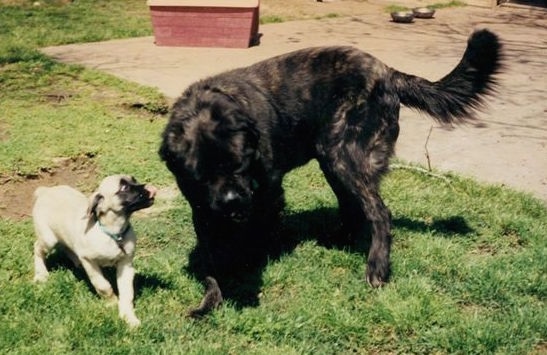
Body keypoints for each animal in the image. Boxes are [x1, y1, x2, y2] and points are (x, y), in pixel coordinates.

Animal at [32, 175, 156, 328]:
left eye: (134, 180)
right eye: (124, 187)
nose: (151, 188)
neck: (114, 234)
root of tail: (45, 191)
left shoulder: (125, 264)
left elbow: (127, 293)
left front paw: (129, 317)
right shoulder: (89, 261)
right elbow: (103, 285)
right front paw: (112, 303)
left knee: (67, 247)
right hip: (48, 239)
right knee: (37, 248)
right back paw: (41, 274)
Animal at [159, 29, 506, 318]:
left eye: (239, 163)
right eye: (200, 175)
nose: (232, 201)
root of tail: (387, 72)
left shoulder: (267, 193)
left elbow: (255, 235)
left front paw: (248, 267)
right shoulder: (203, 209)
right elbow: (211, 259)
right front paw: (212, 298)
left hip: (343, 155)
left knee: (379, 213)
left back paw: (376, 266)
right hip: (333, 162)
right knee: (352, 207)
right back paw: (338, 240)